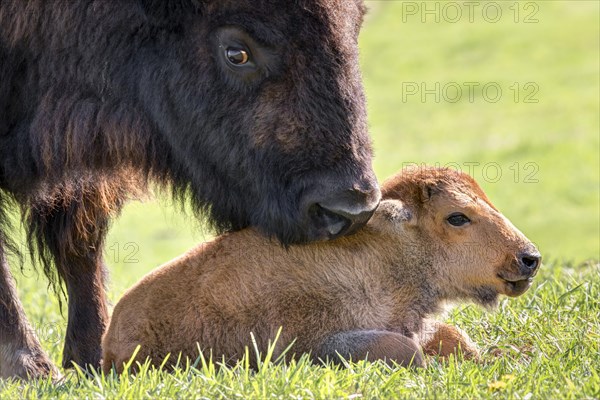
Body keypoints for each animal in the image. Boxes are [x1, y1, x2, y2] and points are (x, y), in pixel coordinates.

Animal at [0, 0, 380, 378]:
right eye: (236, 53)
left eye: (357, 26)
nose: (350, 209)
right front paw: (31, 369)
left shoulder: (84, 179)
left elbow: (81, 247)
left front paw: (91, 358)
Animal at [101, 166, 540, 372]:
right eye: (457, 217)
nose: (529, 258)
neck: (384, 256)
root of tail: (110, 338)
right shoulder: (315, 345)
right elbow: (406, 350)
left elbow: (454, 336)